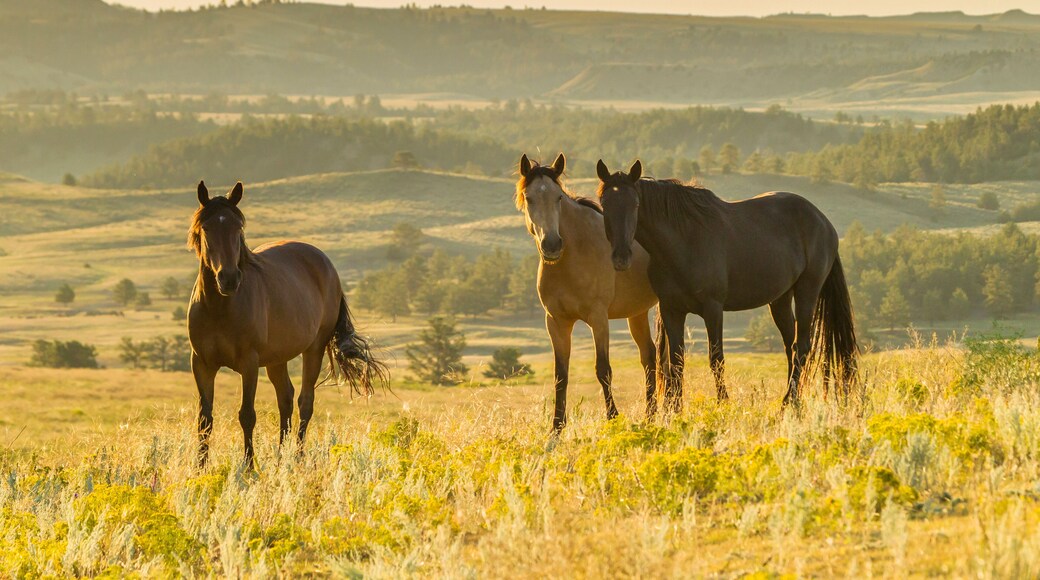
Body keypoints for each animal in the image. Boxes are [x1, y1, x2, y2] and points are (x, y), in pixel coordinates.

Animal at [187, 180, 387, 468]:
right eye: (206, 228)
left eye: (238, 228)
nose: (229, 279)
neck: (219, 308)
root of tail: (326, 264)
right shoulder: (202, 363)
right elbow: (205, 419)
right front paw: (200, 467)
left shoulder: (249, 363)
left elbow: (247, 415)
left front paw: (249, 466)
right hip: (276, 359)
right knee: (286, 398)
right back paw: (282, 457)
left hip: (313, 349)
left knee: (305, 402)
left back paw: (298, 457)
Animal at [516, 153, 659, 431]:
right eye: (529, 198)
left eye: (559, 198)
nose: (552, 244)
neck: (575, 254)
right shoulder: (556, 322)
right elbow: (560, 375)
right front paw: (556, 428)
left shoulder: (598, 318)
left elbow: (603, 369)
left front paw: (613, 418)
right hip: (637, 313)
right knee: (649, 356)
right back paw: (651, 415)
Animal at [595, 159, 857, 411]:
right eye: (604, 204)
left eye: (636, 204)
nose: (621, 257)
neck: (684, 240)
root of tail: (822, 221)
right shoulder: (672, 310)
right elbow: (676, 362)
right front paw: (675, 411)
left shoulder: (713, 309)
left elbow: (716, 359)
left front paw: (723, 404)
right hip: (780, 299)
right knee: (790, 347)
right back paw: (793, 400)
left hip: (807, 292)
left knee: (801, 346)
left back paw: (787, 401)